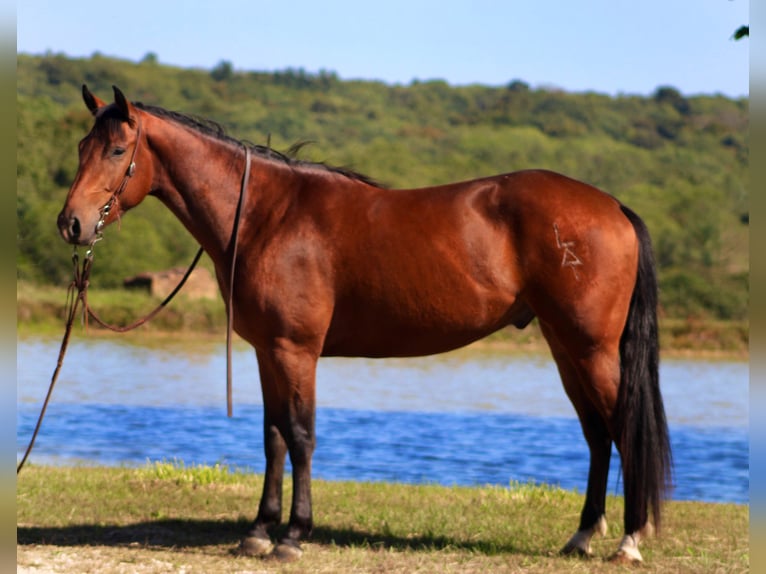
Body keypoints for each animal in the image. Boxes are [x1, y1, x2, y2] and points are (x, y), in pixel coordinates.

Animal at [57, 85, 671, 563]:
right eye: (82, 147)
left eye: (117, 149)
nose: (72, 224)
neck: (265, 216)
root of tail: (612, 207)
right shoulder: (267, 352)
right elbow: (273, 437)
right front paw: (259, 532)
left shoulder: (296, 350)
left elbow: (301, 435)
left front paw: (293, 536)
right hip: (567, 349)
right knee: (597, 434)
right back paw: (582, 536)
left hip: (591, 349)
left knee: (621, 427)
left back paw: (628, 542)